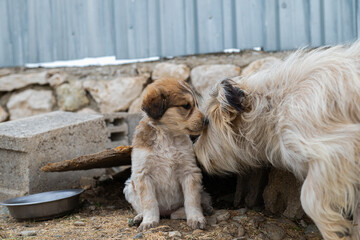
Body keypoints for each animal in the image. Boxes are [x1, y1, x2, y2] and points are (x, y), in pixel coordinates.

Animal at [194, 42, 360, 239]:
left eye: (206, 123)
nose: (195, 153)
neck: (276, 106)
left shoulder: (337, 151)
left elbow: (309, 198)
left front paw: (335, 230)